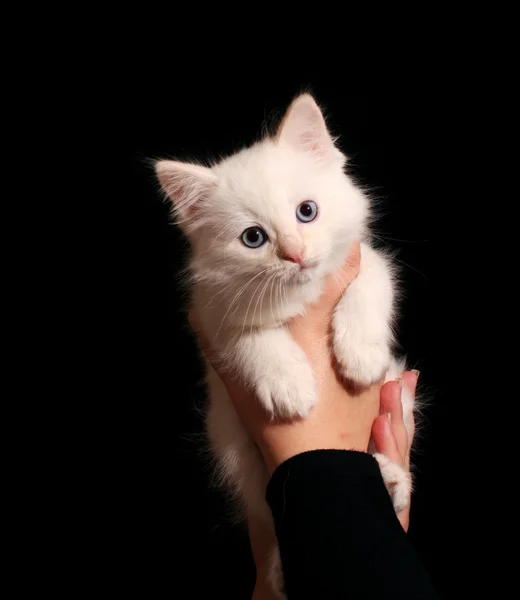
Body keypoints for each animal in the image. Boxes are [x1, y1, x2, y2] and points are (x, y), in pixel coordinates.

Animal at [156, 95, 412, 600]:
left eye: (306, 212)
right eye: (253, 238)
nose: (295, 255)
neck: (299, 295)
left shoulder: (365, 261)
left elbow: (368, 287)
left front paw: (360, 354)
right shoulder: (213, 314)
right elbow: (252, 339)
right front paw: (287, 384)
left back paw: (392, 480)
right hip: (233, 448)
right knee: (267, 505)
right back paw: (278, 569)